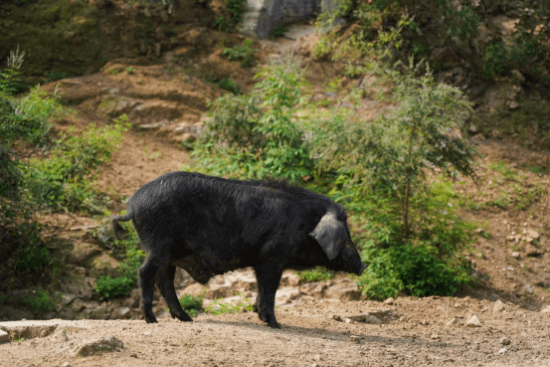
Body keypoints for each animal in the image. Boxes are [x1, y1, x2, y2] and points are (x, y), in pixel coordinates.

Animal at [112, 171, 368, 330]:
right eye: (346, 237)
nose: (363, 265)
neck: (305, 224)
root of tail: (132, 206)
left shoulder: (262, 261)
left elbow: (262, 288)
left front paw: (259, 315)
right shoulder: (272, 256)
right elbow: (270, 289)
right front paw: (276, 324)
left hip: (168, 254)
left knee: (164, 280)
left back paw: (186, 319)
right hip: (159, 246)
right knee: (145, 273)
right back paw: (152, 320)